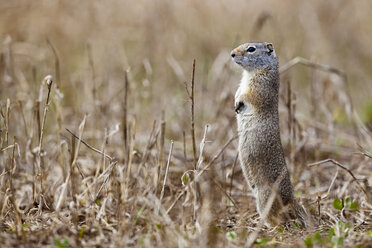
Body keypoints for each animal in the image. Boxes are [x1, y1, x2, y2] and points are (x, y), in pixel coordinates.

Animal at [231, 41, 306, 228]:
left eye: (251, 49)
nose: (231, 54)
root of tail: (291, 198)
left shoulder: (259, 86)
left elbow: (248, 95)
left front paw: (238, 103)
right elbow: (238, 91)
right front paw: (235, 102)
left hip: (264, 196)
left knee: (277, 218)